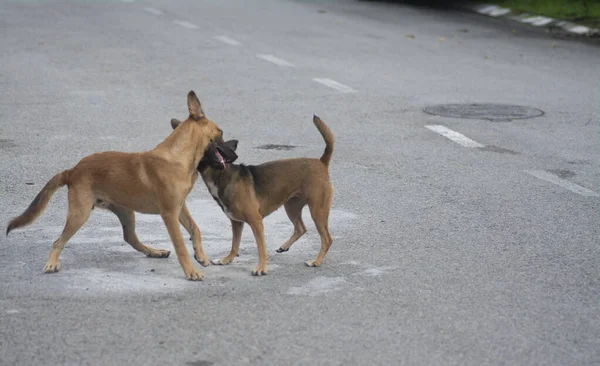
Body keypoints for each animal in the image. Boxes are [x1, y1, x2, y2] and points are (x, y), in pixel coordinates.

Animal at [6, 91, 234, 280]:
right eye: (221, 132)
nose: (235, 155)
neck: (179, 157)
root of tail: (73, 170)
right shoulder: (169, 214)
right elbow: (180, 246)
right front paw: (190, 271)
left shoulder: (180, 207)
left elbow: (196, 229)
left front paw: (201, 256)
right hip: (80, 214)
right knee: (58, 241)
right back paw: (51, 263)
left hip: (126, 212)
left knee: (130, 237)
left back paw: (155, 252)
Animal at [171, 114, 336, 274]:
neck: (221, 174)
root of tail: (321, 162)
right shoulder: (236, 223)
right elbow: (234, 245)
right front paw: (226, 260)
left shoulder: (256, 222)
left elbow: (261, 249)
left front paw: (261, 268)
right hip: (291, 207)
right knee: (301, 228)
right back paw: (284, 246)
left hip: (317, 211)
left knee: (327, 239)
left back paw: (316, 261)